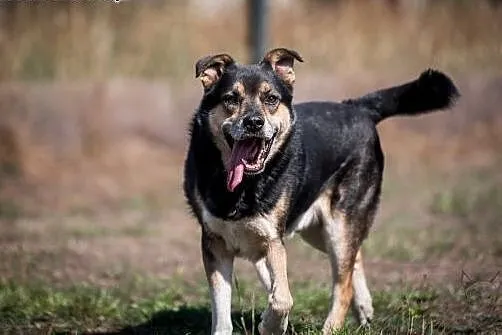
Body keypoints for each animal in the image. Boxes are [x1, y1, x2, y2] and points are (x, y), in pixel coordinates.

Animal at [184, 48, 458, 335]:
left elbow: (283, 298)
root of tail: (357, 107)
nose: (254, 123)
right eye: (230, 99)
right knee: (353, 258)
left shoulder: (272, 240)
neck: (244, 186)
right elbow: (225, 311)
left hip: (338, 225)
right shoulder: (215, 244)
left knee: (343, 284)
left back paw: (333, 325)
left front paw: (270, 324)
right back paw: (364, 308)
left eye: (271, 99)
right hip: (317, 231)